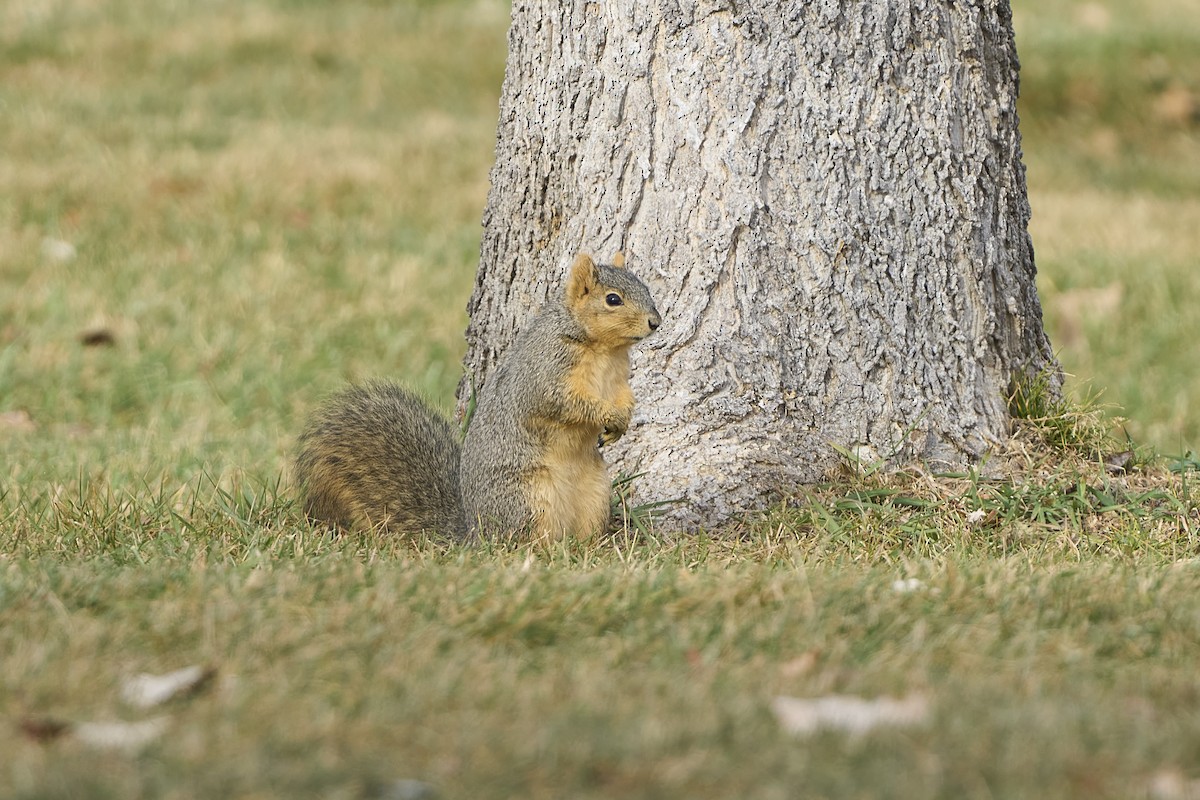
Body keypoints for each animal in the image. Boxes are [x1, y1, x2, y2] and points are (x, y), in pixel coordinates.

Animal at [294, 253, 662, 542]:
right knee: (523, 540)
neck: (605, 351)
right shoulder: (545, 373)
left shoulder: (618, 380)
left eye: (645, 288)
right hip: (527, 498)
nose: (655, 322)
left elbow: (626, 397)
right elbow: (564, 403)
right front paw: (607, 416)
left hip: (596, 495)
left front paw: (622, 422)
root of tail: (473, 531)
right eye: (612, 299)